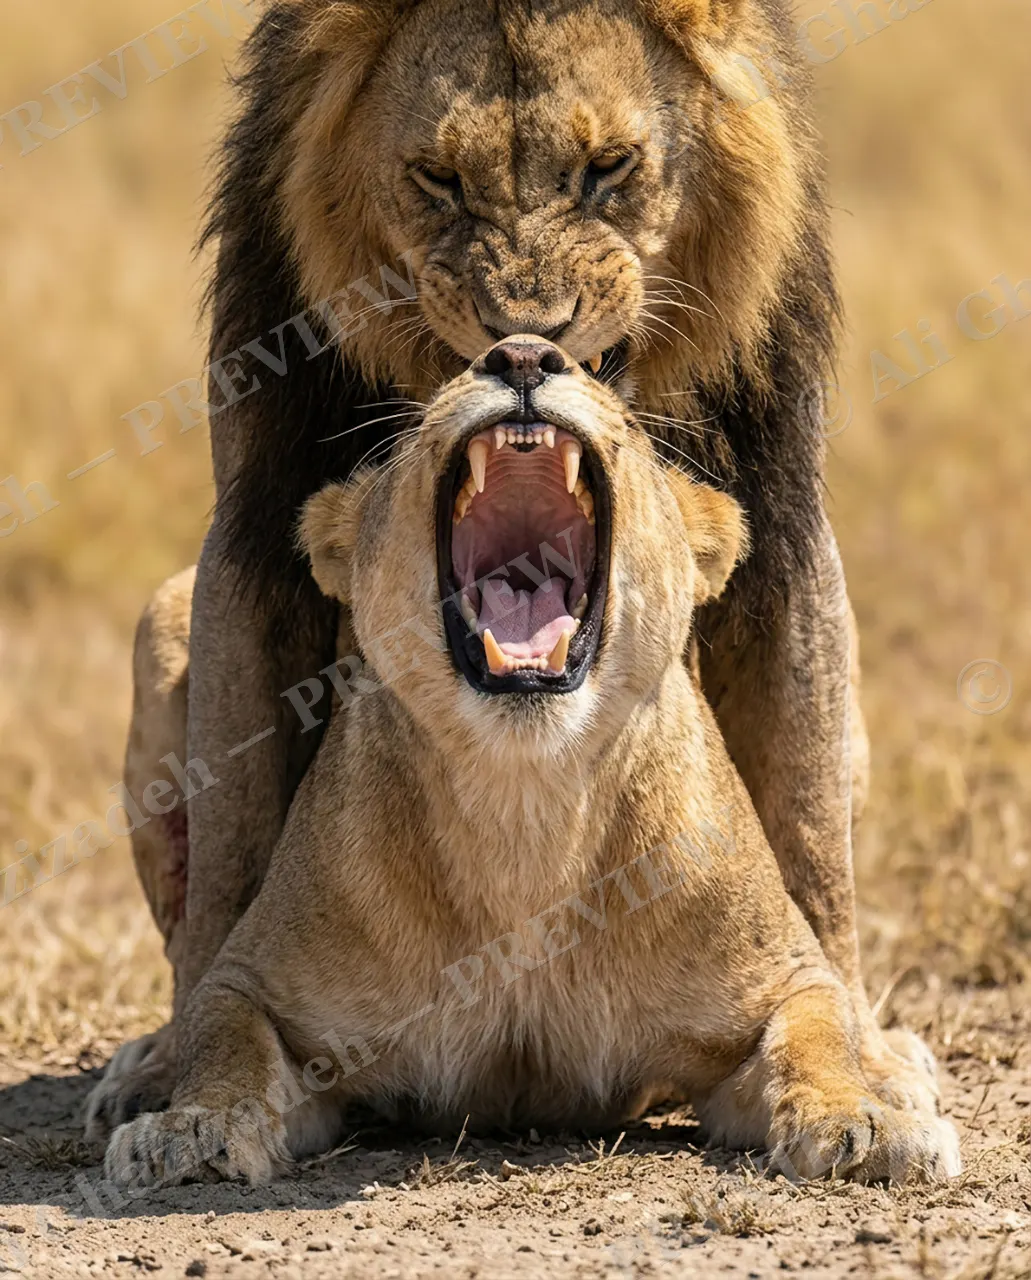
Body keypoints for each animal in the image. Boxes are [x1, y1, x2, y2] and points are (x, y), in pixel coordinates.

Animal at [86, 0, 919, 1131]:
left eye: (609, 166)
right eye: (438, 178)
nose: (525, 342)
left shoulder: (781, 507)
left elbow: (805, 822)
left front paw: (858, 1063)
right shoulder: (254, 515)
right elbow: (233, 829)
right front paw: (184, 1075)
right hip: (159, 622)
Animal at [102, 340, 959, 1188]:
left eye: (627, 422)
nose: (520, 353)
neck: (526, 809)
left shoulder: (779, 981)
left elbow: (816, 1031)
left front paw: (861, 1121)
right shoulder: (256, 982)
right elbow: (225, 1035)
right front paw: (192, 1124)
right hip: (164, 622)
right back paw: (143, 1073)